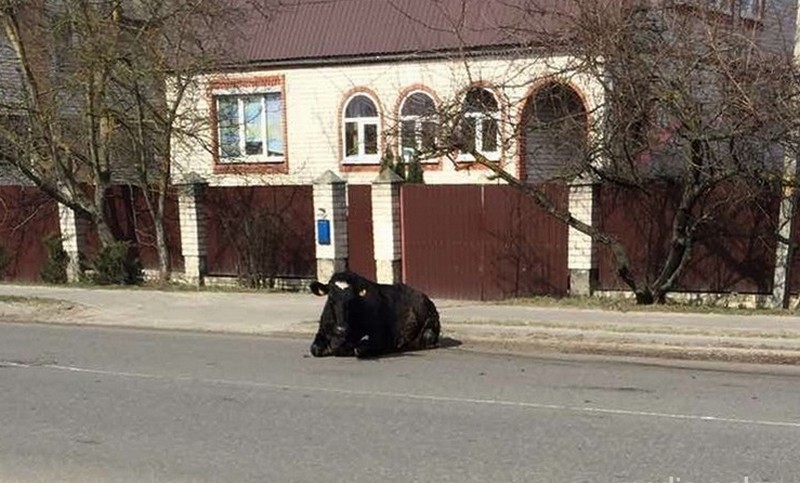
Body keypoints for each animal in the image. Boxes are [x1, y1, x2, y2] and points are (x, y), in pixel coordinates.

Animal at [310, 272, 440, 360]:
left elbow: (359, 349)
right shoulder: (322, 332)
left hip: (429, 331)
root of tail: (425, 297)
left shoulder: (379, 338)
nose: (341, 329)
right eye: (331, 299)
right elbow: (314, 349)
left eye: (352, 300)